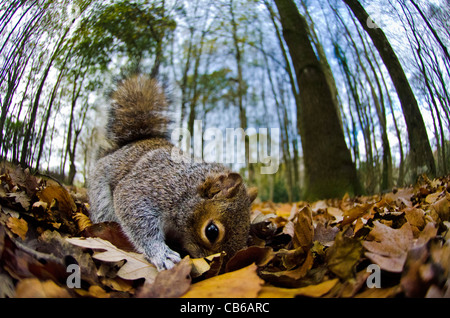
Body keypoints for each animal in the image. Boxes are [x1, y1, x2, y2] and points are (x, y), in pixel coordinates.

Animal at [88, 75, 256, 270]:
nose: (216, 266)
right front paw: (161, 254)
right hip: (100, 194)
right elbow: (135, 212)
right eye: (212, 232)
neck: (188, 187)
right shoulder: (156, 187)